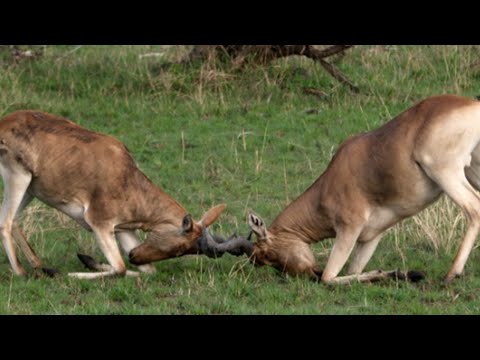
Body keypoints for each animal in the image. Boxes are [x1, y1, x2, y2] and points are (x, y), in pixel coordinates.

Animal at [0, 111, 226, 280]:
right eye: (178, 248)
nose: (135, 257)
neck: (125, 174)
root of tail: (4, 122)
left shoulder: (122, 230)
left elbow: (147, 271)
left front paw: (86, 261)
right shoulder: (99, 223)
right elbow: (120, 268)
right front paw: (69, 273)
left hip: (30, 189)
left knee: (15, 220)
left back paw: (41, 267)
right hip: (18, 178)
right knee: (6, 222)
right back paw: (22, 272)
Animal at [197, 95, 480, 284]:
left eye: (266, 255)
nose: (310, 273)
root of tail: (471, 104)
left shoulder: (349, 228)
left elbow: (331, 277)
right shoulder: (370, 236)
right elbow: (355, 271)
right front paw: (403, 273)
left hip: (445, 171)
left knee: (474, 208)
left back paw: (451, 273)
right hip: (473, 170)